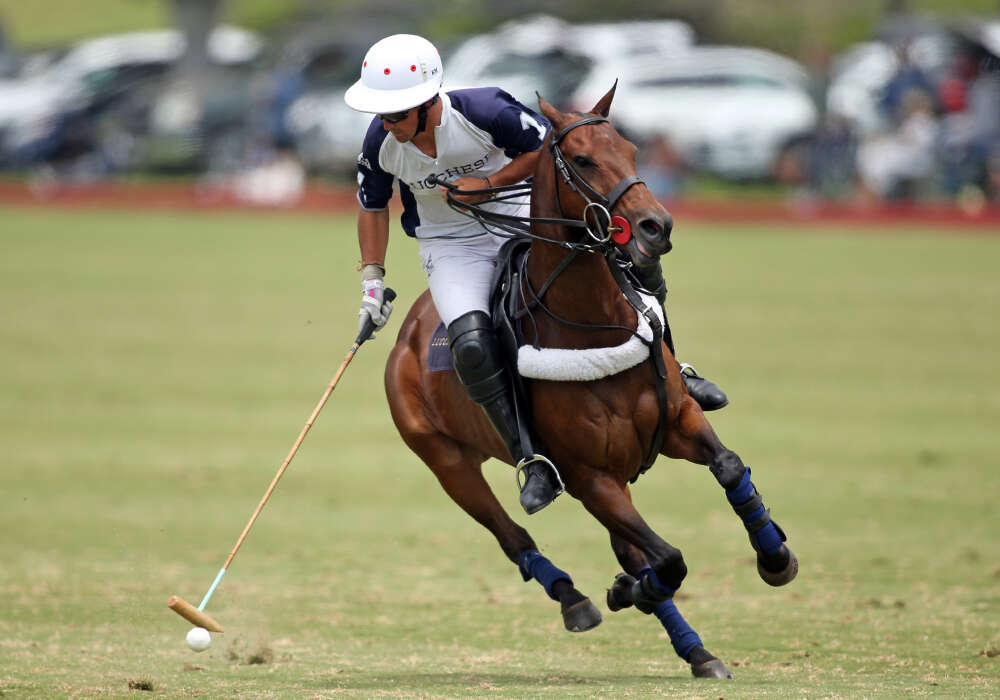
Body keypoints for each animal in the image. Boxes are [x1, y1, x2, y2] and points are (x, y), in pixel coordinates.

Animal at [382, 85, 796, 680]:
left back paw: (696, 649)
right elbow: (668, 558)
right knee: (514, 534)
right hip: (448, 462)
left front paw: (776, 557)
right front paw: (631, 591)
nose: (655, 226)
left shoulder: (678, 422)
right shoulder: (588, 476)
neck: (590, 321)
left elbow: (730, 467)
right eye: (581, 160)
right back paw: (577, 598)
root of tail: (408, 330)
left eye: (631, 148)